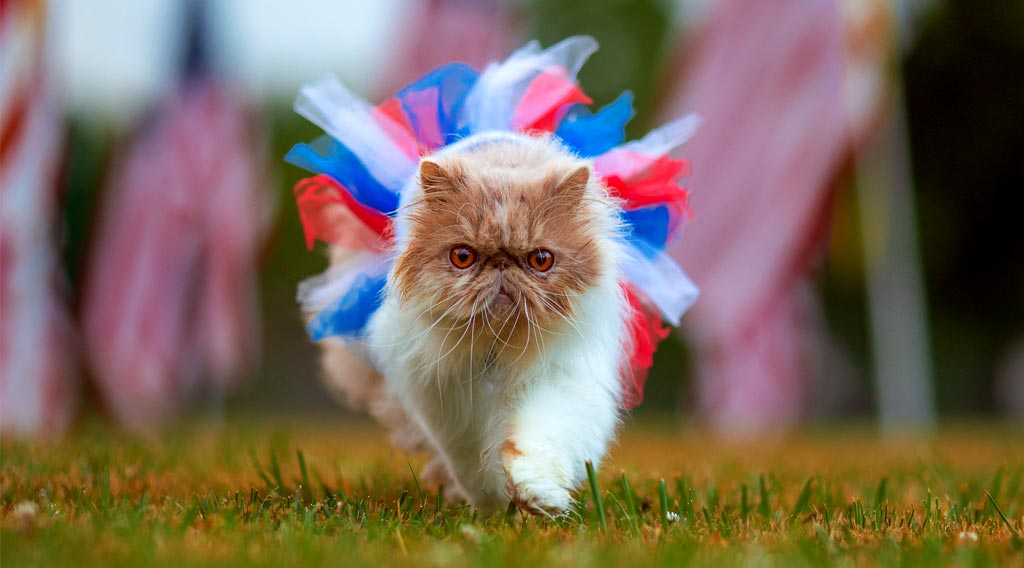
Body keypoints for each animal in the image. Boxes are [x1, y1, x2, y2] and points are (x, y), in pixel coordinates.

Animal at [321, 132, 630, 515]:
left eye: (541, 260)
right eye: (463, 257)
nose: (500, 264)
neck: (496, 345)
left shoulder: (562, 380)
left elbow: (536, 438)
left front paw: (536, 495)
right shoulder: (448, 402)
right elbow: (472, 463)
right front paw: (495, 505)